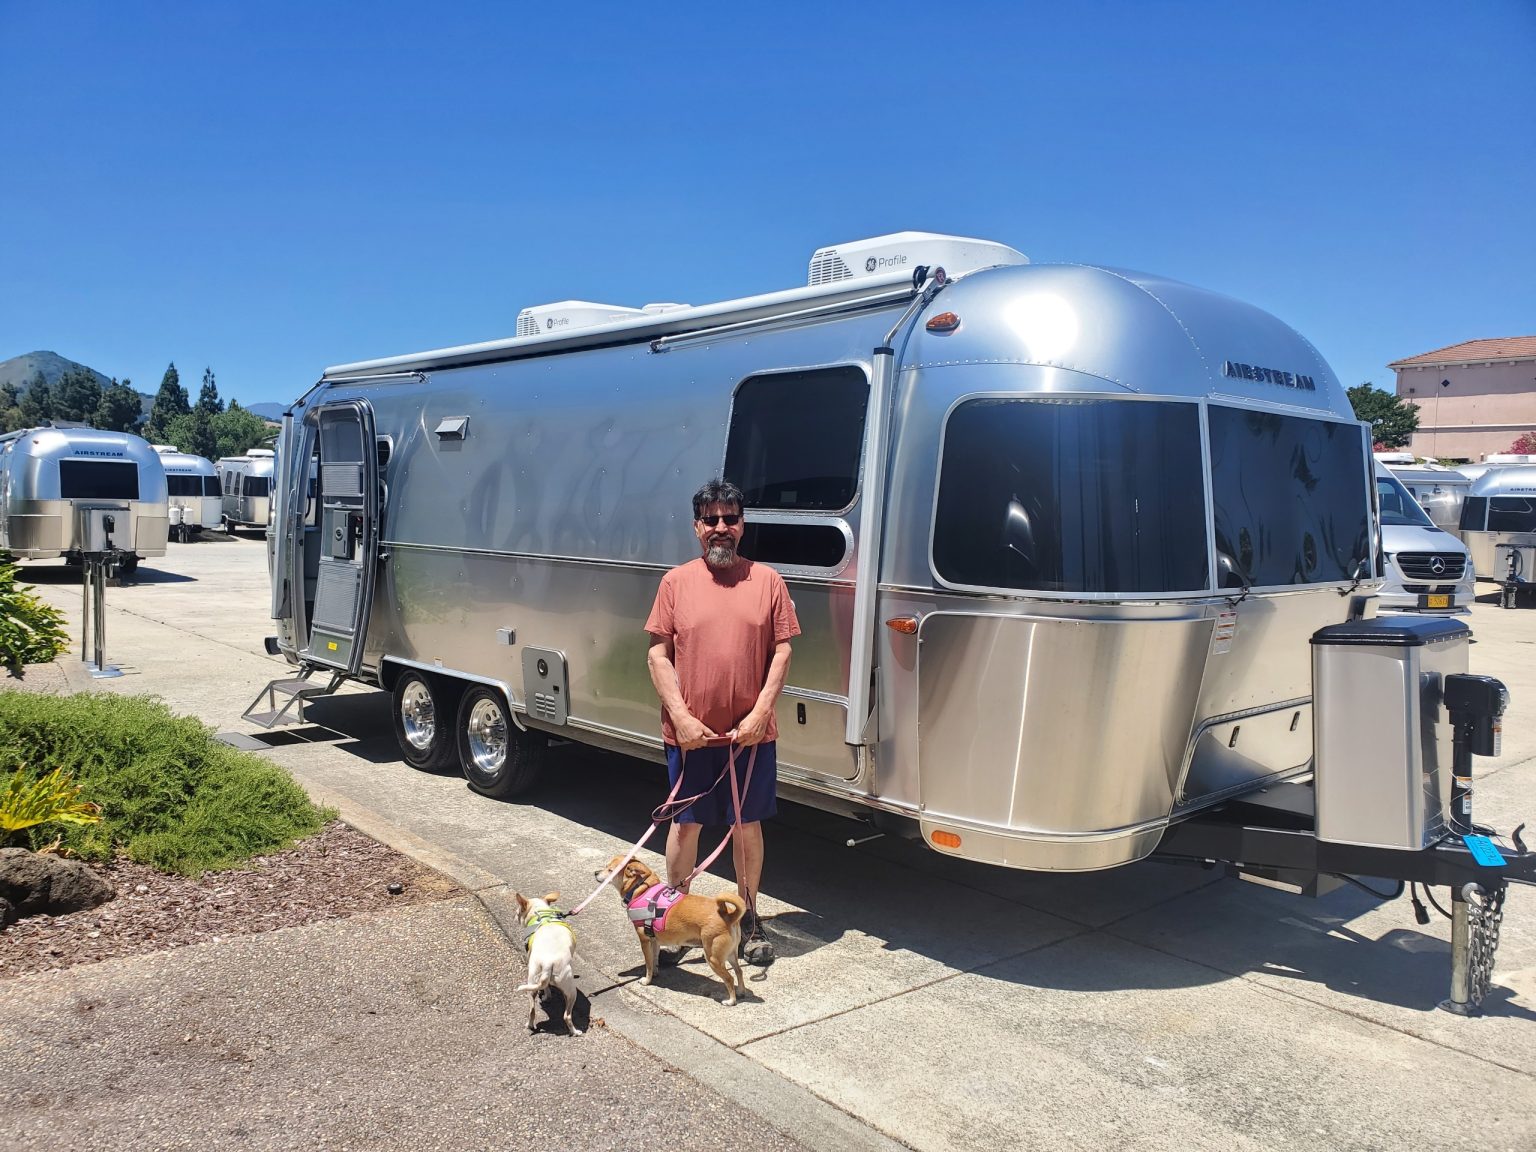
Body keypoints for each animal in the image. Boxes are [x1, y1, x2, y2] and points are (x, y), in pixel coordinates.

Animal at [513, 891, 582, 1035]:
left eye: (517, 911)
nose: (514, 916)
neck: (541, 915)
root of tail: (548, 963)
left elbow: (546, 987)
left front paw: (547, 996)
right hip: (571, 990)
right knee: (567, 1016)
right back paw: (575, 1032)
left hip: (532, 981)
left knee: (532, 1010)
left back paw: (529, 1025)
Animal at [595, 855, 746, 1005]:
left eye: (610, 870)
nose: (595, 872)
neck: (641, 888)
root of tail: (729, 916)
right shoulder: (654, 940)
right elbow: (654, 958)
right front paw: (655, 972)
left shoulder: (645, 941)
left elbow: (648, 964)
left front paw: (647, 980)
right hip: (730, 954)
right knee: (739, 971)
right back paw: (741, 991)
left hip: (713, 958)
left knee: (729, 978)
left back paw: (731, 1000)